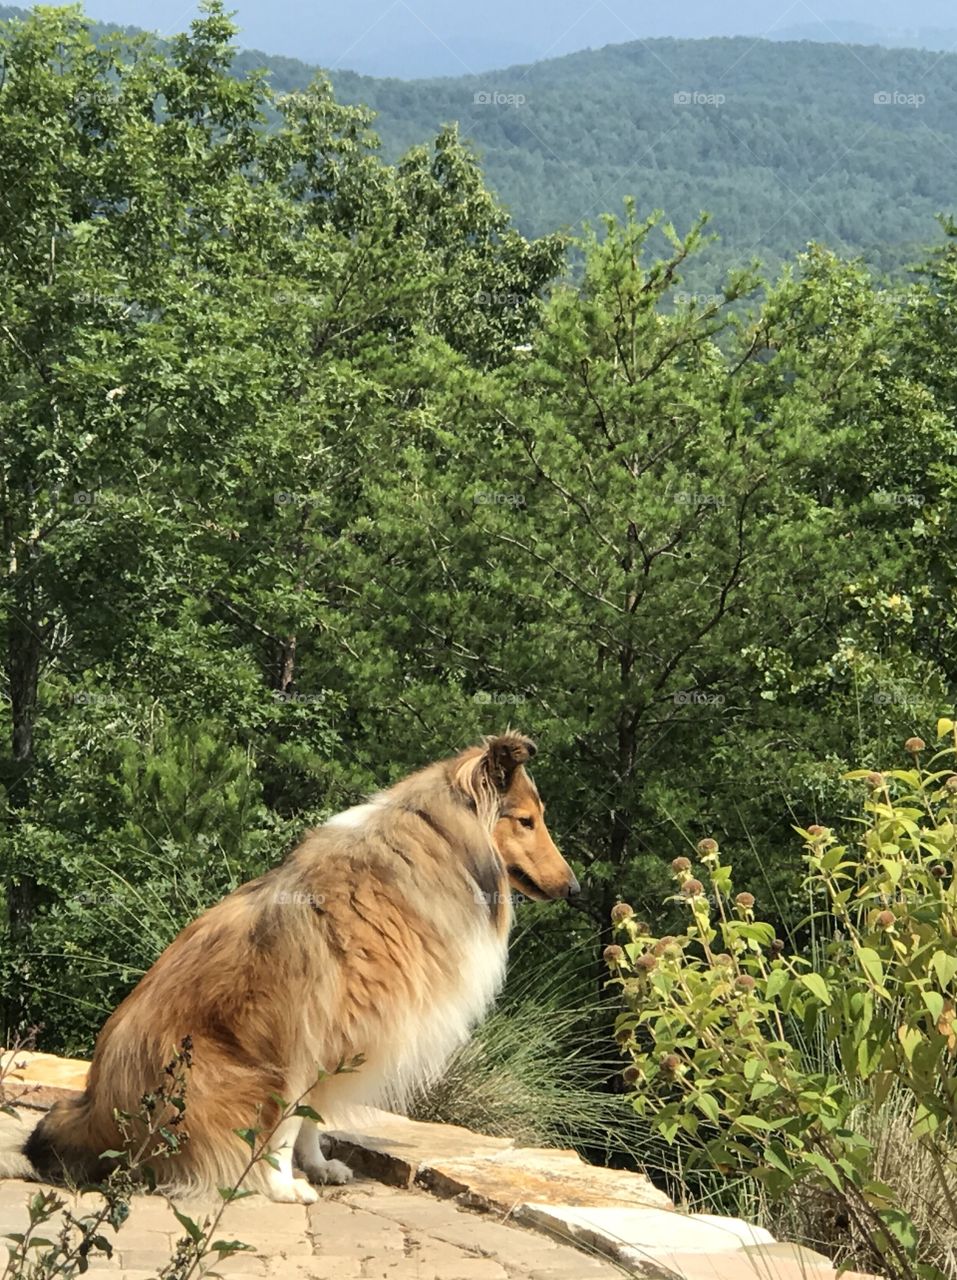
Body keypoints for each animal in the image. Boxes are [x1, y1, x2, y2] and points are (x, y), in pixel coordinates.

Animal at [14, 732, 578, 1198]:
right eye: (526, 820)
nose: (575, 889)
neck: (432, 846)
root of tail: (93, 1113)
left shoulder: (344, 1032)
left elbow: (314, 1114)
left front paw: (320, 1166)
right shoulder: (300, 1031)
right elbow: (287, 1120)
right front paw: (284, 1186)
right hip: (217, 1074)